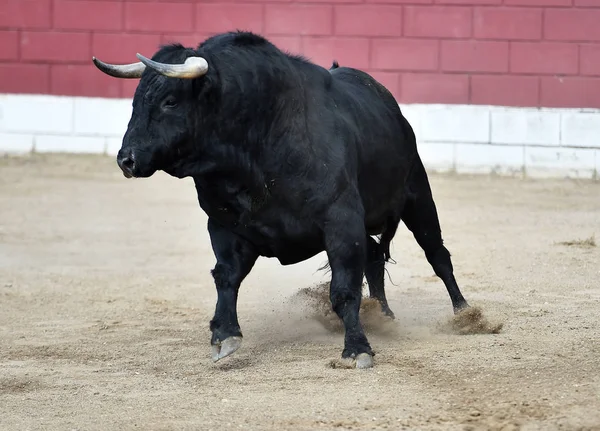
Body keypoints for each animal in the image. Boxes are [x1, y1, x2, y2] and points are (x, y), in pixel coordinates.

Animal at [92, 30, 468, 370]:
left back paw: (465, 314)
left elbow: (344, 288)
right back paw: (384, 315)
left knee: (437, 255)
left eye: (170, 101)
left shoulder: (341, 220)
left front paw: (357, 349)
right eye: (135, 100)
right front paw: (224, 335)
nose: (126, 160)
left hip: (418, 195)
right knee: (376, 258)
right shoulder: (224, 224)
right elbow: (226, 276)